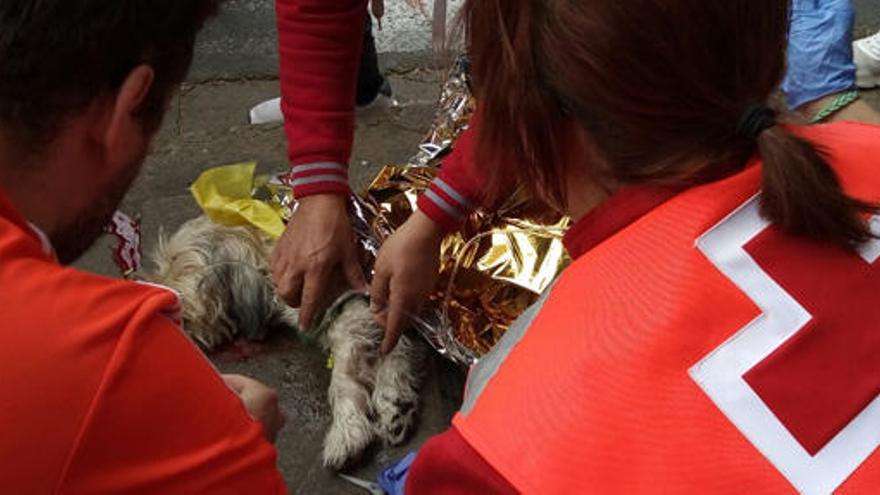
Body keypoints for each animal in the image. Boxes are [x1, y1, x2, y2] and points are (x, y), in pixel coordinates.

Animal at [143, 217, 428, 468]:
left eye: (175, 259)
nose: (155, 289)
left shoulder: (353, 312)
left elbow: (344, 380)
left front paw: (347, 433)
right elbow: (394, 352)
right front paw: (396, 404)